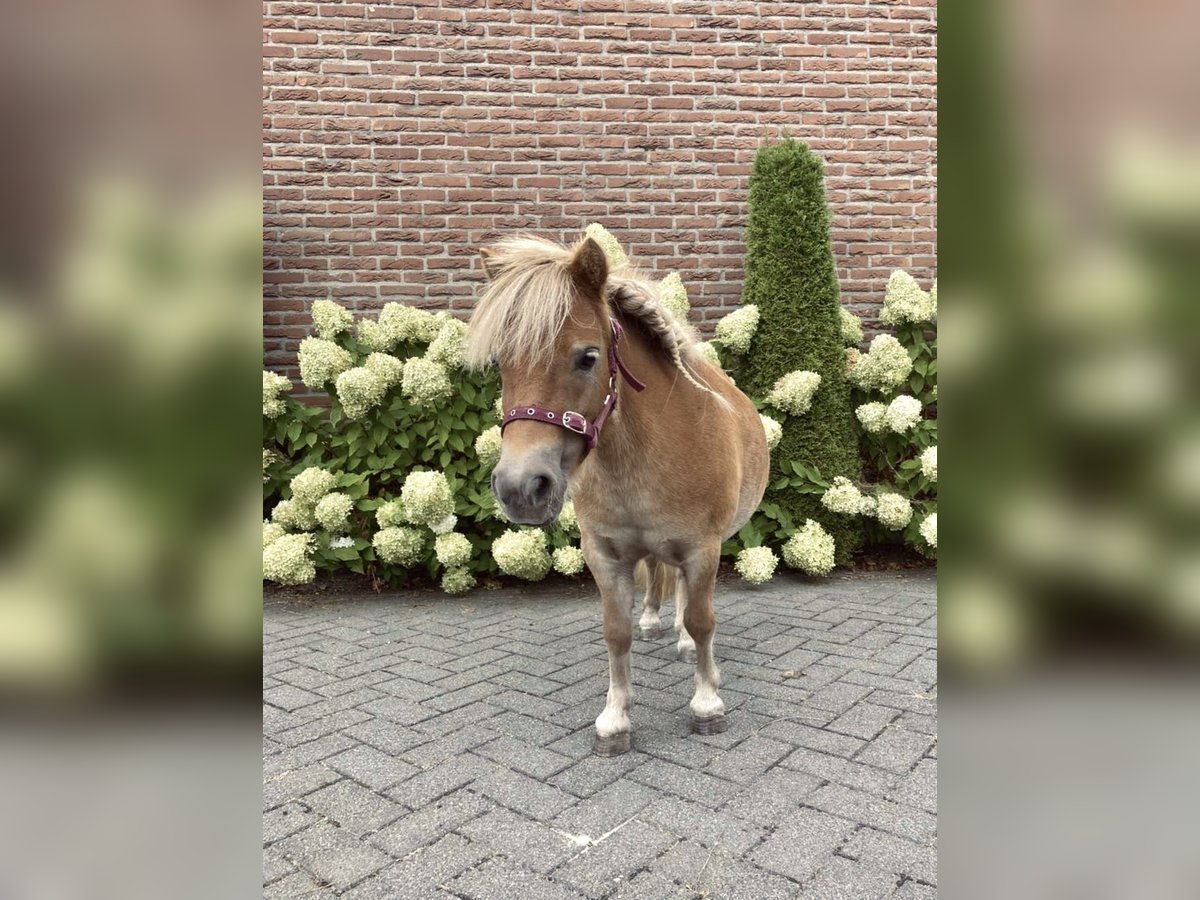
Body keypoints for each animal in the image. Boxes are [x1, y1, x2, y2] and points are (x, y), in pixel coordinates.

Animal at [468, 236, 768, 758]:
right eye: (501, 363)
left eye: (588, 357)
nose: (520, 487)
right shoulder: (605, 555)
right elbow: (616, 632)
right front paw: (615, 719)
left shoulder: (703, 549)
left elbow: (702, 620)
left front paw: (707, 703)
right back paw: (653, 623)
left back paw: (684, 645)